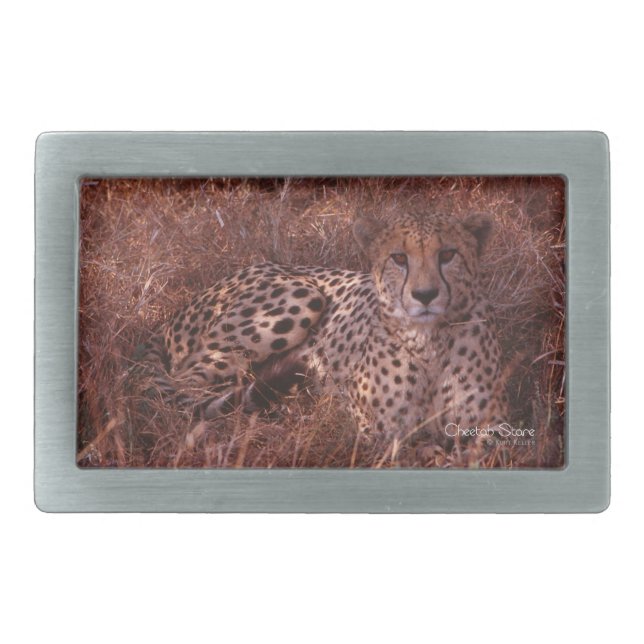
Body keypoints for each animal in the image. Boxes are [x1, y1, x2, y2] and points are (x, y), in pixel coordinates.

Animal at [136, 211, 508, 448]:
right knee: (183, 387)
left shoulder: (496, 431)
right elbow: (417, 448)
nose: (425, 295)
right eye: (399, 258)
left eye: (448, 254)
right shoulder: (377, 432)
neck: (428, 341)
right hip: (302, 295)